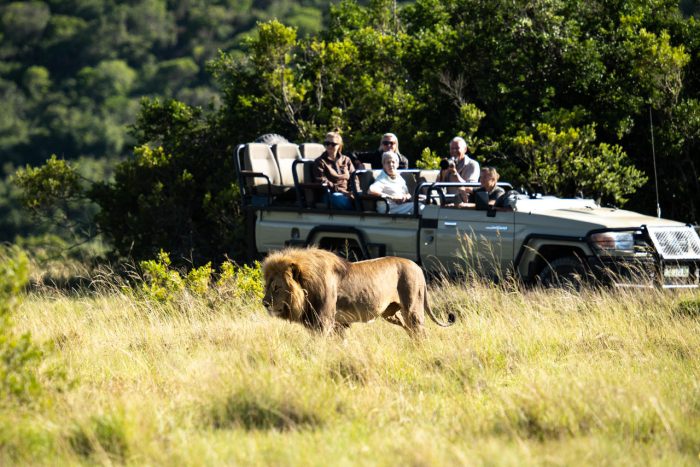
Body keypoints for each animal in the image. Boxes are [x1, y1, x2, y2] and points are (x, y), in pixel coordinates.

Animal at [262, 247, 454, 338]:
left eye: (277, 287)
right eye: (267, 286)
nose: (264, 303)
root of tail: (417, 266)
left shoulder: (324, 321)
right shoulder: (337, 324)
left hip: (413, 309)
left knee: (421, 333)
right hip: (392, 314)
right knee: (411, 332)